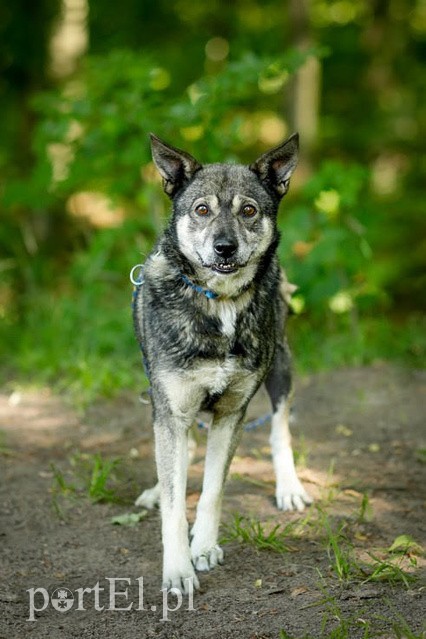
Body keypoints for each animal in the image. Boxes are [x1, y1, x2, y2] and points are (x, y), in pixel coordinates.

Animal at [131, 134, 312, 596]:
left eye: (248, 210)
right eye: (201, 210)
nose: (224, 247)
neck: (219, 301)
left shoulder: (232, 413)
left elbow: (213, 490)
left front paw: (204, 547)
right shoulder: (171, 408)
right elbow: (175, 501)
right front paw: (178, 569)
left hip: (281, 366)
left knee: (280, 428)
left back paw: (289, 486)